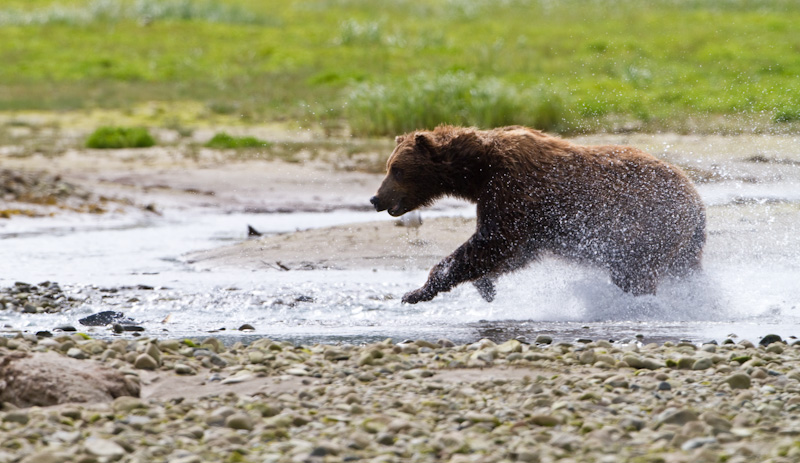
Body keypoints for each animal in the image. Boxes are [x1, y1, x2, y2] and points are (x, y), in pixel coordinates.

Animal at [370, 125, 708, 304]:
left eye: (396, 170)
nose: (375, 198)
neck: (478, 172)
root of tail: (696, 197)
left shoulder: (512, 189)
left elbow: (492, 242)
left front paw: (416, 291)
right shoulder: (525, 217)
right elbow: (512, 251)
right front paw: (486, 286)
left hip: (648, 226)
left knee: (636, 272)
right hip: (680, 241)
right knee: (682, 268)